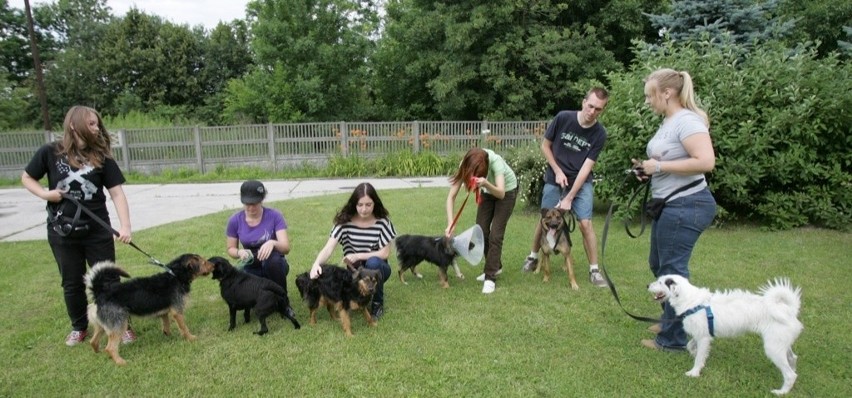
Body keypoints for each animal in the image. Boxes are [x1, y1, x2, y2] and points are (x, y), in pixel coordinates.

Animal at [83, 253, 215, 366]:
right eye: (203, 262)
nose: (214, 265)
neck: (176, 275)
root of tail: (100, 293)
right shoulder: (177, 312)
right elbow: (184, 327)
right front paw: (191, 338)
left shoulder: (164, 313)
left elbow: (166, 325)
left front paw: (168, 336)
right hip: (119, 325)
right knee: (110, 348)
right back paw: (121, 362)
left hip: (103, 326)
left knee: (93, 341)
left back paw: (99, 354)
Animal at [648, 274, 804, 394]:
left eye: (661, 282)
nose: (647, 285)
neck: (691, 301)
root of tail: (789, 310)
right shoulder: (700, 335)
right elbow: (690, 346)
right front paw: (696, 356)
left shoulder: (703, 337)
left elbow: (698, 358)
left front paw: (694, 372)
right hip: (780, 344)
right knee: (793, 359)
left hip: (772, 348)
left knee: (790, 375)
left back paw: (781, 392)